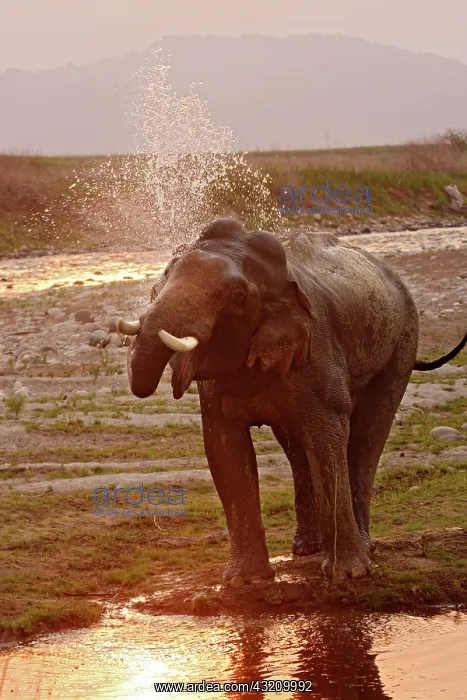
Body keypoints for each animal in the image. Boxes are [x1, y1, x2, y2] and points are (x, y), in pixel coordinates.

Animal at [118, 218, 467, 582]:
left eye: (238, 296)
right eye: (163, 278)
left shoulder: (318, 349)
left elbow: (327, 439)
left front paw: (348, 574)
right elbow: (224, 447)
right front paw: (243, 581)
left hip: (402, 343)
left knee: (367, 435)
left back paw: (362, 547)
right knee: (297, 447)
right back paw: (305, 549)